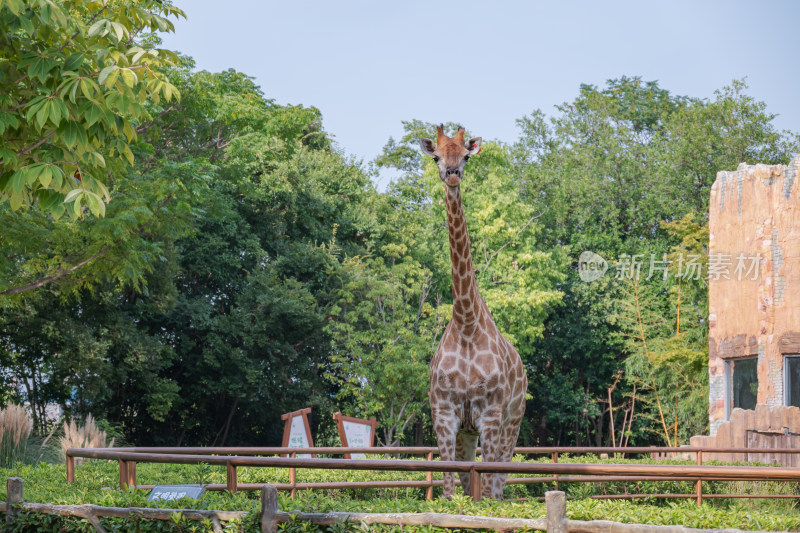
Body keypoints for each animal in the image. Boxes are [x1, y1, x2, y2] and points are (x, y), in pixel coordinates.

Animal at [422, 123, 528, 498]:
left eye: (466, 156)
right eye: (437, 157)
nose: (452, 175)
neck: (466, 323)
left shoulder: (492, 415)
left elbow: (487, 490)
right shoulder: (445, 414)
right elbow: (451, 487)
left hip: (514, 421)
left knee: (498, 483)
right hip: (469, 431)